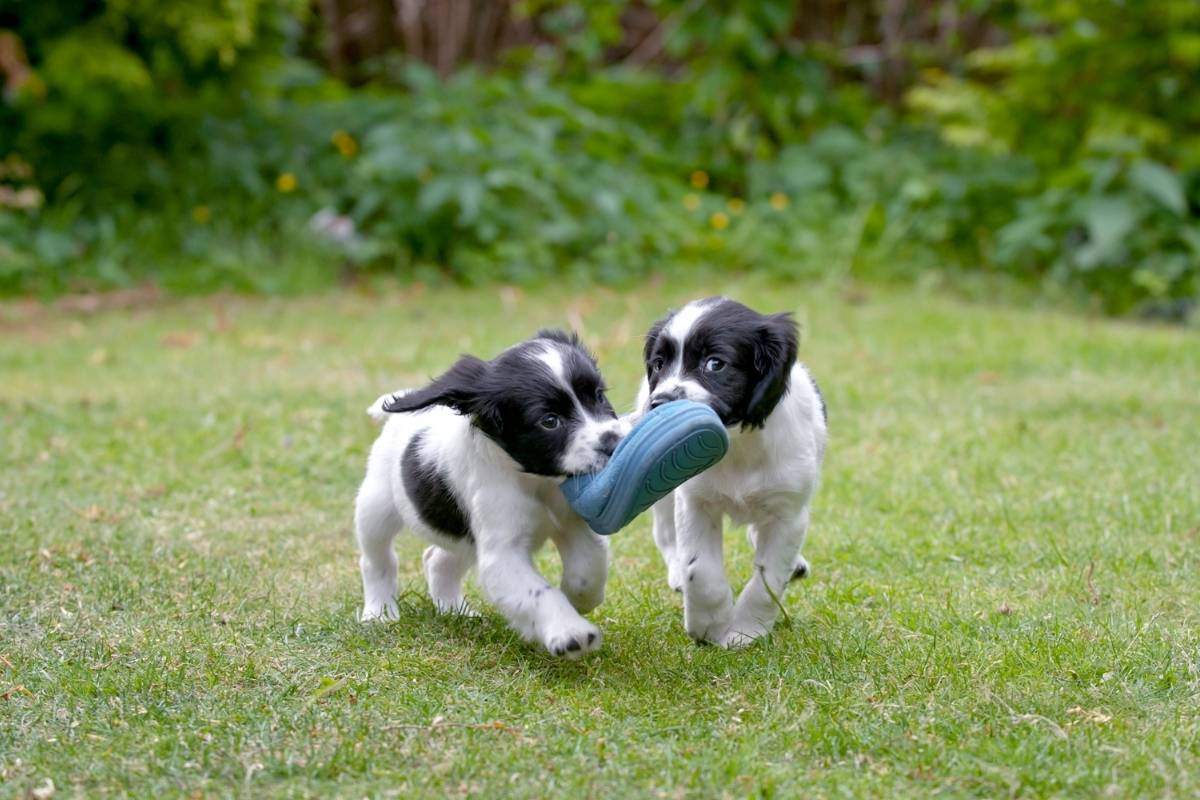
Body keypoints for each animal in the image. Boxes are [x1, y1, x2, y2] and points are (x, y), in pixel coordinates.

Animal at [352, 331, 624, 657]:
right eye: (549, 421)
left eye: (598, 395)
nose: (614, 443)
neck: (537, 481)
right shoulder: (502, 551)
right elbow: (539, 593)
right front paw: (569, 632)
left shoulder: (572, 522)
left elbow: (588, 568)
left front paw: (578, 599)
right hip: (376, 506)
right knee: (377, 560)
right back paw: (379, 612)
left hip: (464, 536)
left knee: (437, 560)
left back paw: (455, 611)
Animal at [638, 298, 825, 652]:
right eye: (658, 364)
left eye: (715, 364)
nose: (659, 403)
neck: (738, 445)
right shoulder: (694, 501)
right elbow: (701, 569)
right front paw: (708, 623)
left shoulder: (789, 513)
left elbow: (768, 579)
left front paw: (745, 631)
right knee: (665, 533)